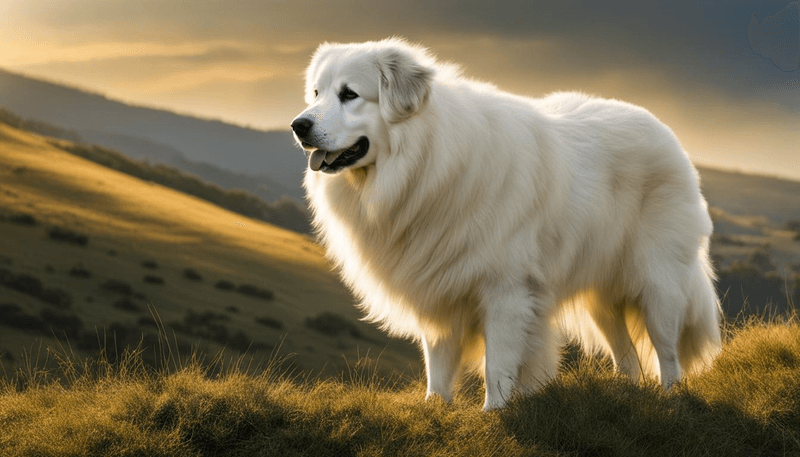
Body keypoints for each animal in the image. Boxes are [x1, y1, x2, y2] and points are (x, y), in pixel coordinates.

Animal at [290, 38, 720, 410]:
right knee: (626, 354)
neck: (426, 159)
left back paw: (670, 399)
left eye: (349, 94)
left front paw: (494, 413)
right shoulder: (438, 286)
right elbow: (438, 362)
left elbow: (497, 365)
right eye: (316, 93)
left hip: (658, 286)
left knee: (667, 352)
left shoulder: (506, 293)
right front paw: (435, 407)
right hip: (602, 298)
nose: (299, 126)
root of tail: (667, 134)